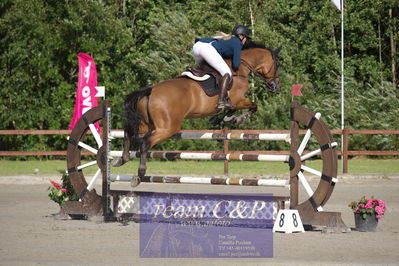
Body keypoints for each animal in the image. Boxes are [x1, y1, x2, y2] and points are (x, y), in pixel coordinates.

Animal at [114, 42, 282, 185]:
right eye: (277, 65)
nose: (276, 86)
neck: (240, 69)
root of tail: (151, 90)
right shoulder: (238, 99)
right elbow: (252, 106)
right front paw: (237, 119)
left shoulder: (236, 101)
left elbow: (230, 110)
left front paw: (219, 119)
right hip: (168, 128)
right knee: (144, 143)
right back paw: (139, 174)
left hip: (146, 124)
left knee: (129, 132)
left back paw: (122, 160)